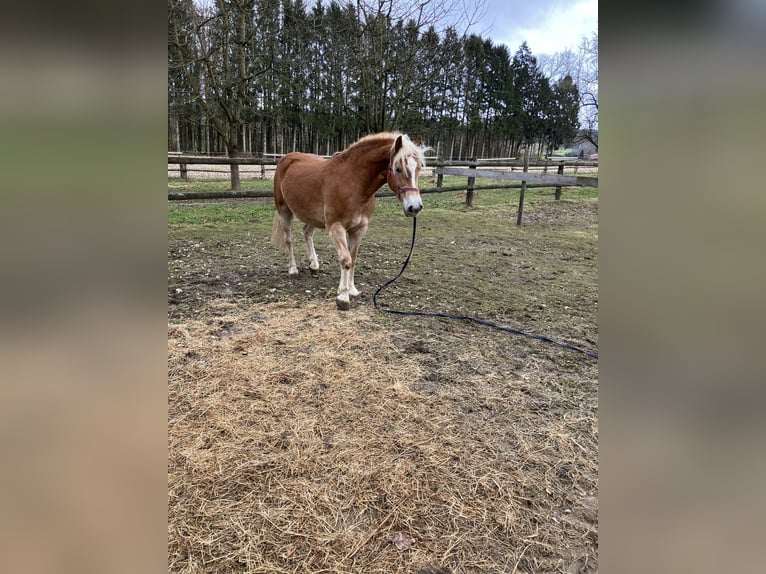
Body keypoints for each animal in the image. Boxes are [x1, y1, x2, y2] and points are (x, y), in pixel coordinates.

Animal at [272, 132, 428, 310]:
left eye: (419, 168)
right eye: (398, 169)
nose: (414, 207)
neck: (354, 183)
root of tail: (286, 159)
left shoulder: (359, 229)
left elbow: (353, 260)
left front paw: (352, 290)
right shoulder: (336, 227)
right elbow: (345, 260)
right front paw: (343, 297)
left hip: (311, 215)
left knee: (307, 233)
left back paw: (314, 266)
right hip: (284, 210)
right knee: (289, 239)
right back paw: (293, 269)